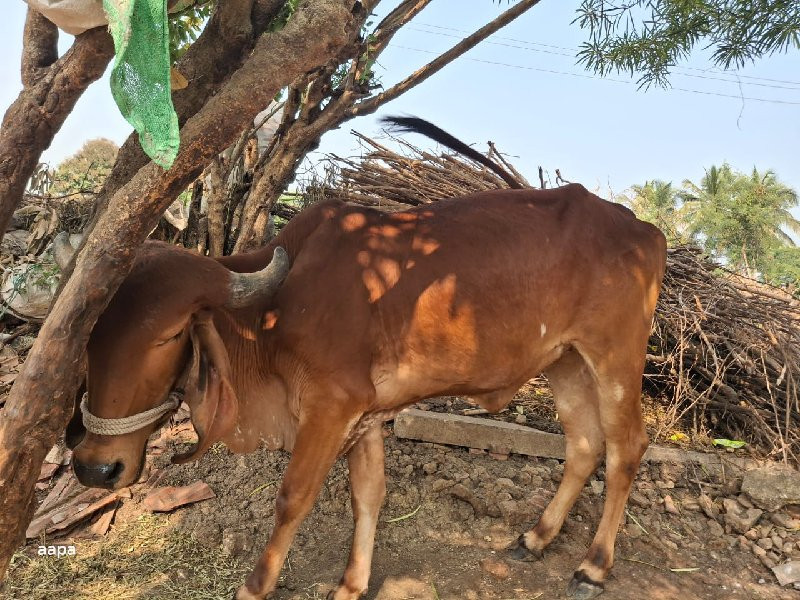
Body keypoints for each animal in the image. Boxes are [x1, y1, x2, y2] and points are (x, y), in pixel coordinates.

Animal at [65, 119, 668, 596]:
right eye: (89, 339)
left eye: (168, 336)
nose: (95, 466)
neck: (275, 307)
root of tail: (644, 229)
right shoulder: (366, 411)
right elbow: (369, 495)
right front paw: (352, 584)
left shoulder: (332, 406)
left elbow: (293, 498)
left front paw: (255, 586)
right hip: (565, 360)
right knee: (584, 445)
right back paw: (538, 536)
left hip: (614, 358)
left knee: (625, 449)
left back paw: (593, 565)